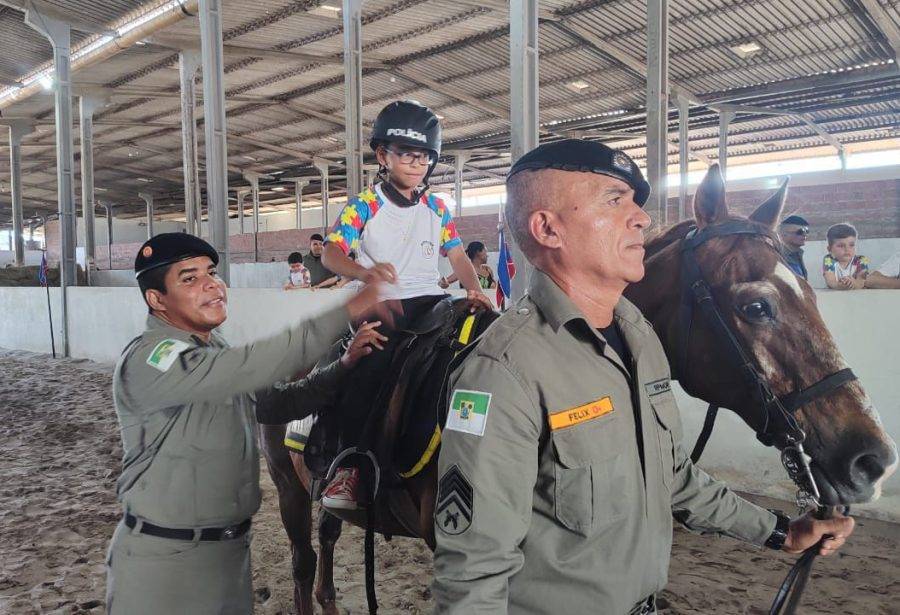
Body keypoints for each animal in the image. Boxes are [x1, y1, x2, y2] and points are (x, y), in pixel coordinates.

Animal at [258, 165, 892, 615]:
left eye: (808, 292)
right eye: (757, 306)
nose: (871, 458)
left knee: (328, 537)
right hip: (286, 484)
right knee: (302, 560)